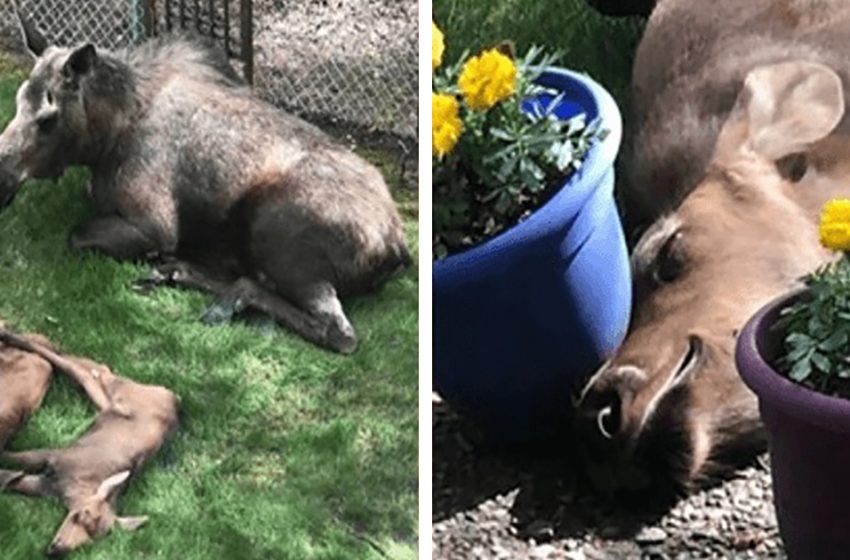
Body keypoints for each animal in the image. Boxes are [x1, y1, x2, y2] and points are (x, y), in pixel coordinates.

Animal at [0, 10, 410, 354]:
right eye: (18, 101)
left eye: (48, 117)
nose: (3, 177)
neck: (104, 137)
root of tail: (396, 246)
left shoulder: (154, 224)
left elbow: (77, 235)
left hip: (276, 231)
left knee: (338, 332)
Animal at [0, 328, 177, 556]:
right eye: (82, 514)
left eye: (91, 540)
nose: (56, 549)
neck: (71, 489)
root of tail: (174, 397)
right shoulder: (54, 457)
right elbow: (11, 457)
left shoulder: (44, 485)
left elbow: (10, 478)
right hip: (113, 388)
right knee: (78, 368)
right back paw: (10, 336)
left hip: (103, 399)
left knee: (89, 365)